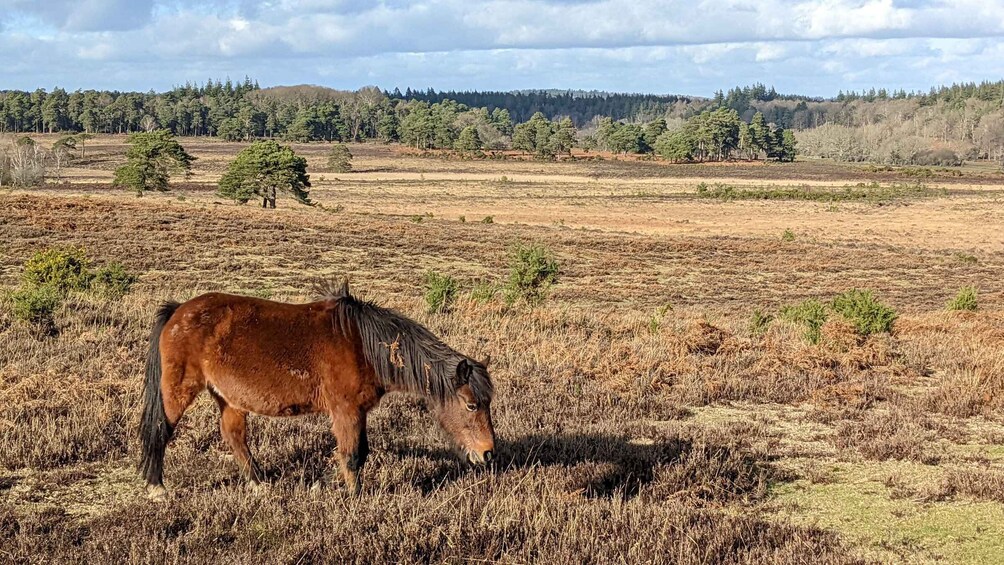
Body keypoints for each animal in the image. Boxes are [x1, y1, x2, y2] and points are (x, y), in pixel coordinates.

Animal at [138, 280, 493, 497]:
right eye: (472, 405)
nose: (488, 453)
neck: (362, 344)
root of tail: (178, 310)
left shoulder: (357, 412)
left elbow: (358, 452)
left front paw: (328, 484)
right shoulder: (346, 411)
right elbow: (352, 455)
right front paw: (354, 496)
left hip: (228, 397)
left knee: (234, 435)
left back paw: (258, 483)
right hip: (179, 389)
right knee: (161, 429)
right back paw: (157, 487)